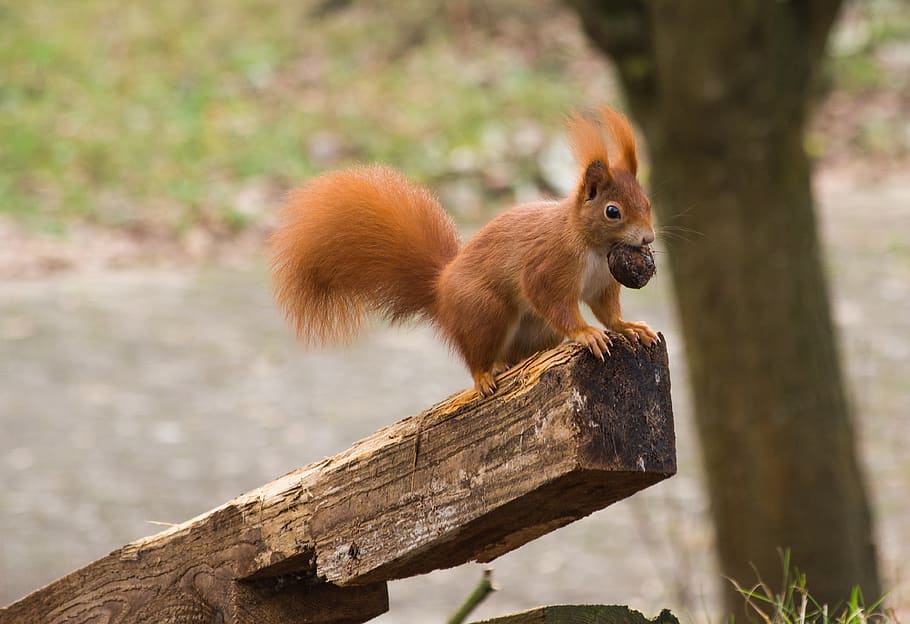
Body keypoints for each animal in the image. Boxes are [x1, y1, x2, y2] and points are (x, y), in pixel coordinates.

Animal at [269, 105, 658, 396]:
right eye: (612, 211)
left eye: (647, 202)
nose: (648, 239)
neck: (592, 248)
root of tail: (439, 291)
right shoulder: (549, 264)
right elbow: (550, 298)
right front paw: (585, 333)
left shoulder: (602, 283)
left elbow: (608, 311)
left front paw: (628, 326)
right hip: (484, 310)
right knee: (476, 355)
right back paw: (485, 374)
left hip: (535, 331)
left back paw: (508, 364)